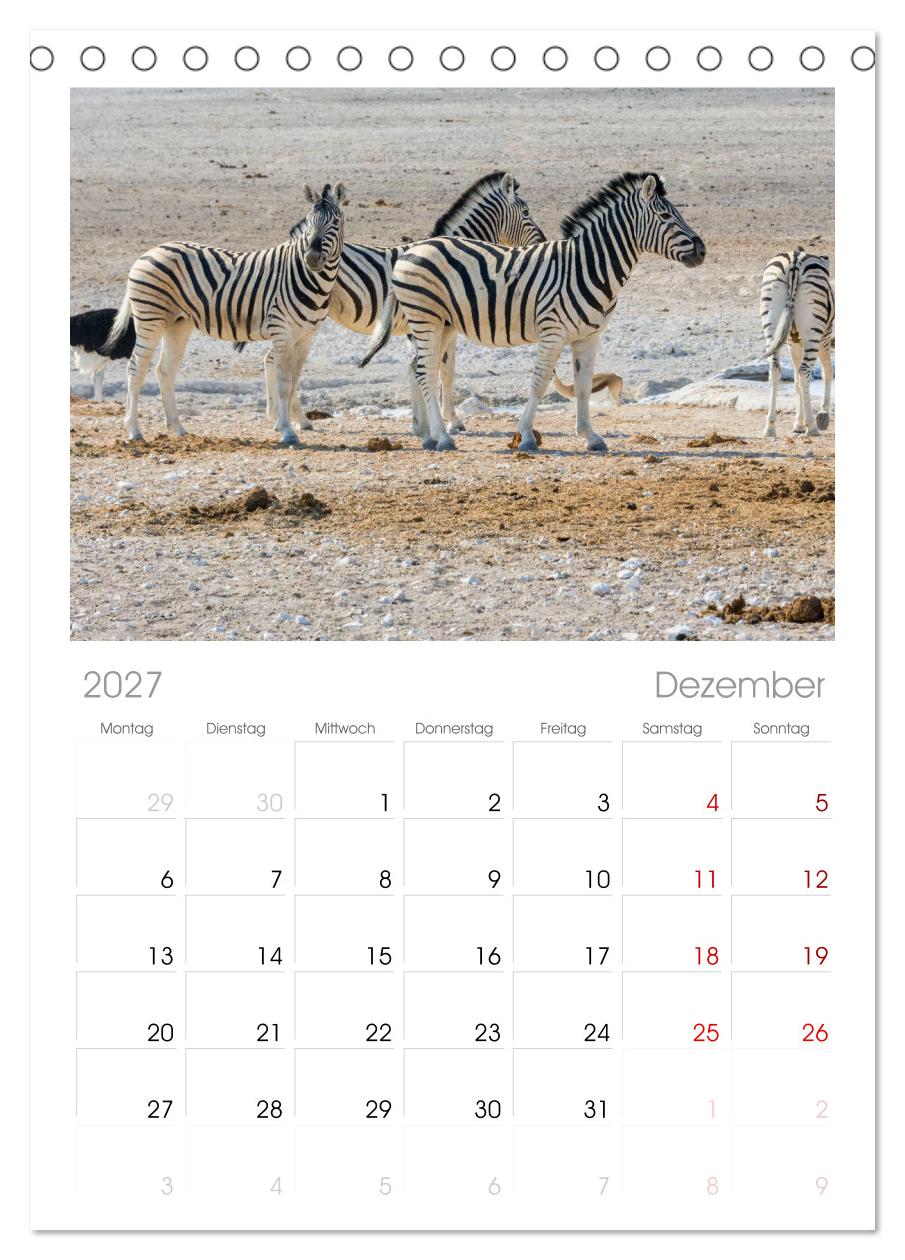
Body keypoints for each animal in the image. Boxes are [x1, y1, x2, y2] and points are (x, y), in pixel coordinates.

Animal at [103, 183, 346, 444]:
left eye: (336, 221)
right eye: (310, 222)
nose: (312, 258)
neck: (304, 275)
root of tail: (150, 251)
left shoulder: (306, 336)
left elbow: (293, 382)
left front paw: (288, 425)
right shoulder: (282, 332)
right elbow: (283, 384)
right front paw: (287, 432)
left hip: (177, 323)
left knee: (165, 371)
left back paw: (177, 428)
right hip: (150, 316)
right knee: (135, 368)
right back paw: (134, 430)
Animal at [265, 170, 546, 447]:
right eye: (526, 212)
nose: (544, 240)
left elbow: (432, 370)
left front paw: (425, 425)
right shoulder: (434, 324)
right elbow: (442, 370)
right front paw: (447, 422)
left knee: (272, 358)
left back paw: (284, 419)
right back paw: (292, 420)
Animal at [361, 172, 705, 452]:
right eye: (665, 215)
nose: (702, 250)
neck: (587, 267)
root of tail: (412, 249)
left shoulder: (589, 337)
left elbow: (583, 386)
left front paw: (591, 436)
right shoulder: (553, 333)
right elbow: (539, 383)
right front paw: (526, 436)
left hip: (443, 323)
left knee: (420, 369)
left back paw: (429, 436)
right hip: (426, 319)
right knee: (425, 371)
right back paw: (443, 438)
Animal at [760, 249, 834, 438]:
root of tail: (794, 260)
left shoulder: (792, 343)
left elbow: (795, 383)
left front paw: (798, 424)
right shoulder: (825, 338)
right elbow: (827, 371)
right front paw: (822, 414)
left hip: (771, 327)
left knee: (775, 370)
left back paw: (770, 427)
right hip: (813, 334)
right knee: (804, 372)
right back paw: (812, 426)